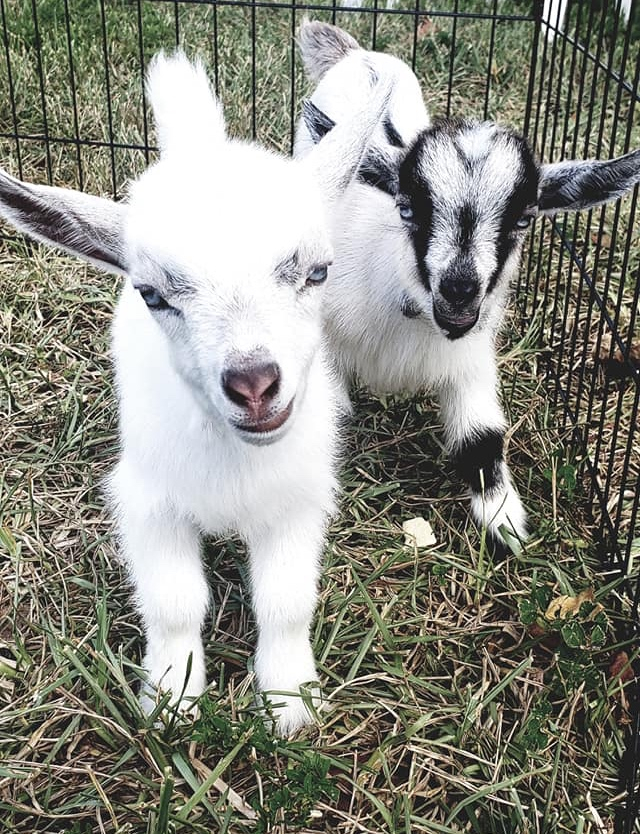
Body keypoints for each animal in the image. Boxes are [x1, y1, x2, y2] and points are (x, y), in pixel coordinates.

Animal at [296, 19, 640, 552]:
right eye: (407, 208)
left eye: (524, 218)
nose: (460, 288)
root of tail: (358, 54)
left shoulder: (471, 354)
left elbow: (481, 435)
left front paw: (505, 524)